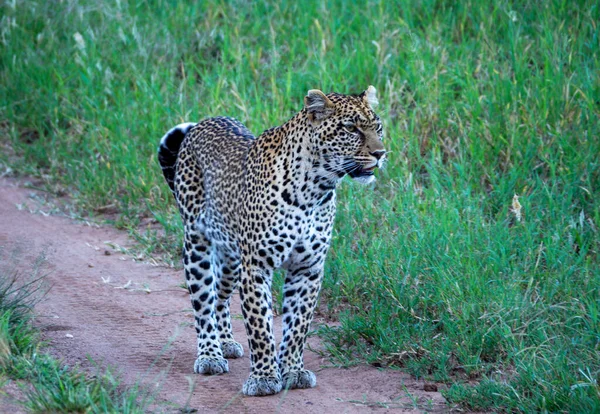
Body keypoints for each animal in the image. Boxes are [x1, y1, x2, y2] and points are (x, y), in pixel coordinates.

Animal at [157, 85, 386, 396]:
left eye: (378, 127)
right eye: (351, 128)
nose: (381, 153)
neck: (315, 189)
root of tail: (203, 123)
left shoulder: (307, 269)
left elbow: (298, 325)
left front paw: (292, 371)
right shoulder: (256, 267)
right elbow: (260, 326)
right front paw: (264, 377)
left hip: (232, 260)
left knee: (220, 297)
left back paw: (226, 342)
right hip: (197, 244)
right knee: (203, 301)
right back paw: (210, 354)